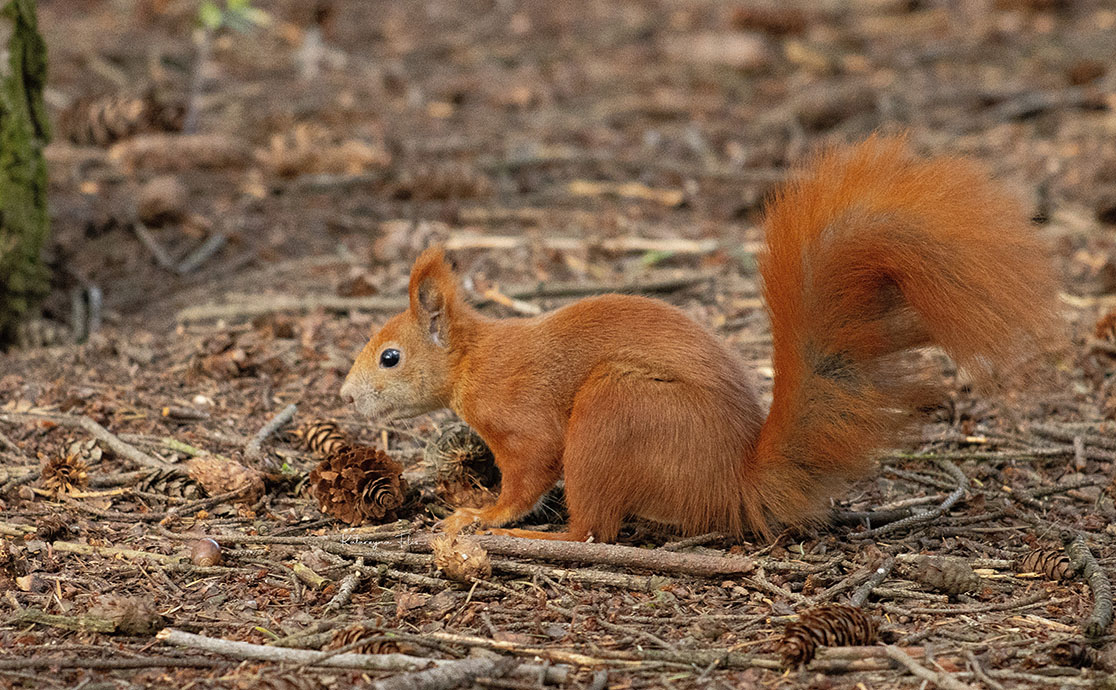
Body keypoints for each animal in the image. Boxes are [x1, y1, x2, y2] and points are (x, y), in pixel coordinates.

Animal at [341, 134, 1062, 540]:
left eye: (390, 356)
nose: (346, 397)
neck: (475, 359)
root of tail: (732, 482)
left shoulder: (525, 422)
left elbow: (528, 474)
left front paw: (483, 515)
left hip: (617, 409)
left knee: (595, 533)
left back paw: (543, 540)